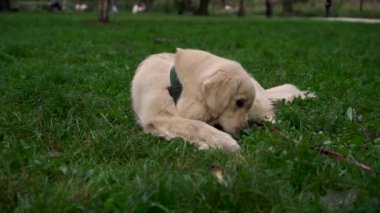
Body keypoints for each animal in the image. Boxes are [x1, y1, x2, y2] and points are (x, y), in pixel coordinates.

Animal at [132, 48, 314, 151]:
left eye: (244, 105)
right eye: (239, 103)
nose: (246, 132)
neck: (175, 87)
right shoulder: (159, 117)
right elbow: (196, 125)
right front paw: (224, 142)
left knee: (269, 114)